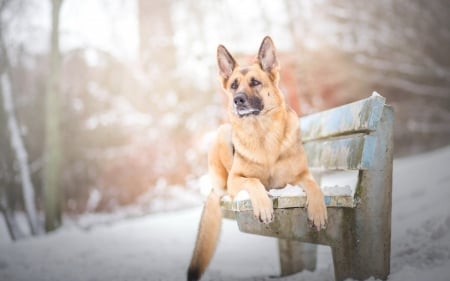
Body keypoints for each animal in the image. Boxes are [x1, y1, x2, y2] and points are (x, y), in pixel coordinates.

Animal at [186, 36, 326, 278]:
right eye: (234, 85)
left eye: (255, 83)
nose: (238, 100)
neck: (263, 135)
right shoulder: (236, 180)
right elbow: (253, 181)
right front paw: (263, 206)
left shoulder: (302, 175)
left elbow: (314, 186)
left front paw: (318, 212)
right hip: (223, 133)